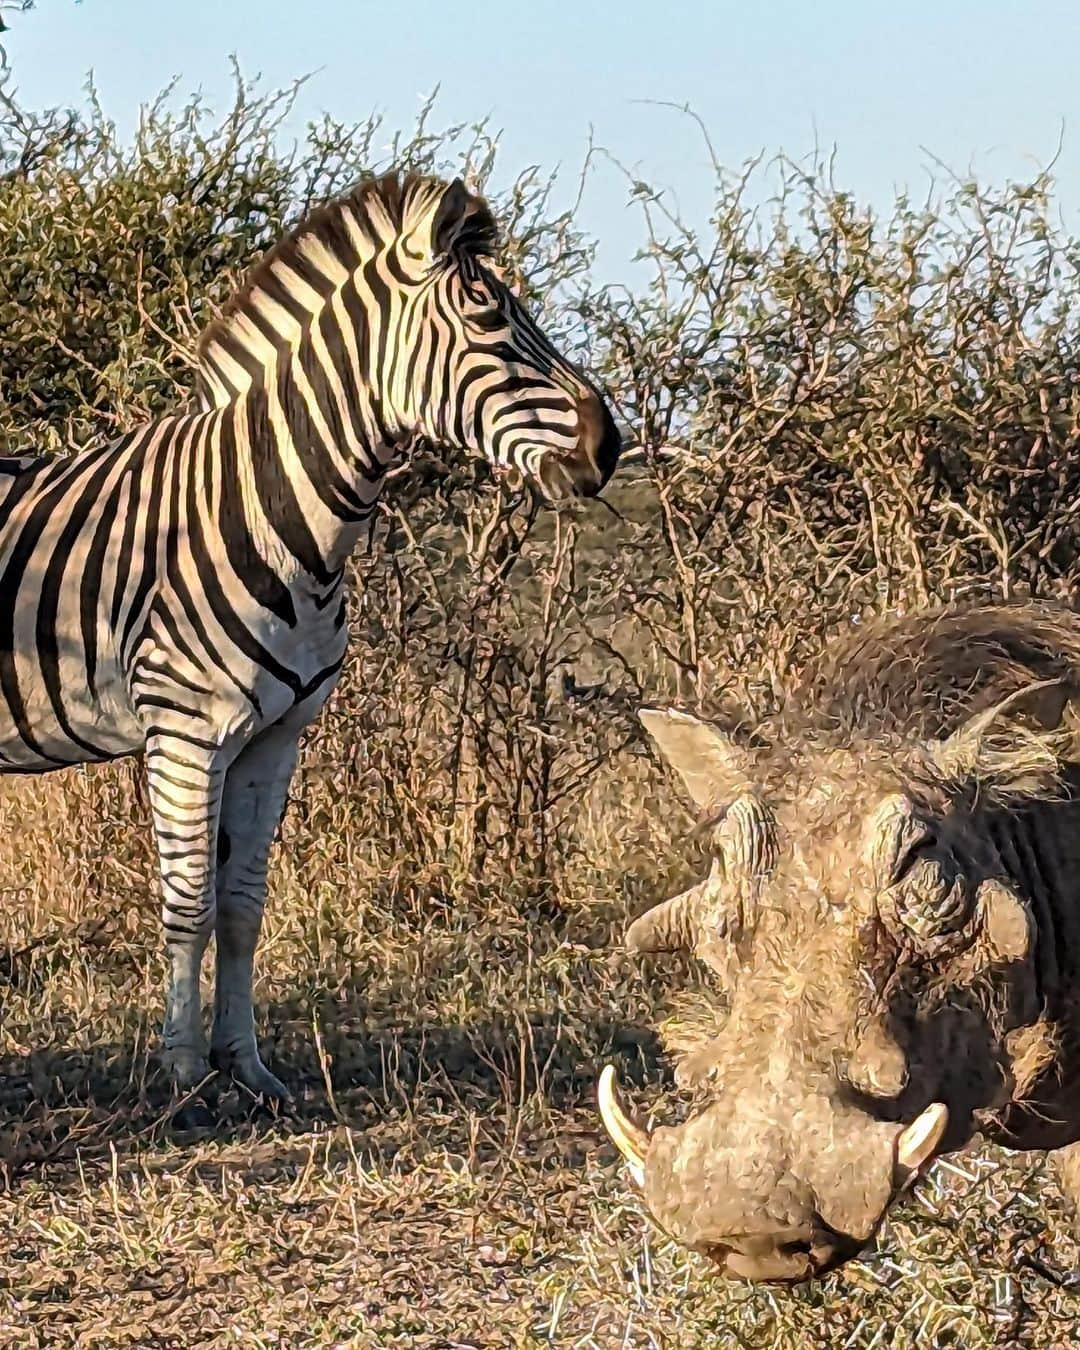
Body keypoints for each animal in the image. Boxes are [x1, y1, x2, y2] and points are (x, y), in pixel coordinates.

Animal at [0, 171, 621, 1096]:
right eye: (489, 322)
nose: (607, 445)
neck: (269, 514)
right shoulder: (183, 733)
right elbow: (187, 902)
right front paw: (183, 1074)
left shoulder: (276, 737)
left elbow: (242, 904)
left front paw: (247, 1066)